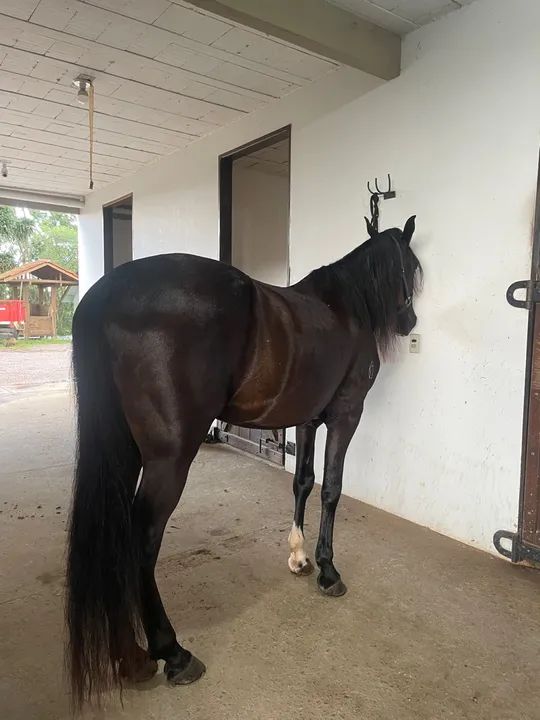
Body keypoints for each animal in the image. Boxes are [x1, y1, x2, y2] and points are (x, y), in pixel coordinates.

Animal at [66, 215, 422, 708]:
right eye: (410, 266)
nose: (409, 321)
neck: (346, 308)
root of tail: (103, 297)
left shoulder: (307, 420)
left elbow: (303, 481)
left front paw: (299, 557)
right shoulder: (346, 416)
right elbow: (331, 489)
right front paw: (328, 571)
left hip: (123, 451)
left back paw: (130, 658)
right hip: (168, 462)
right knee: (140, 540)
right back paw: (171, 652)